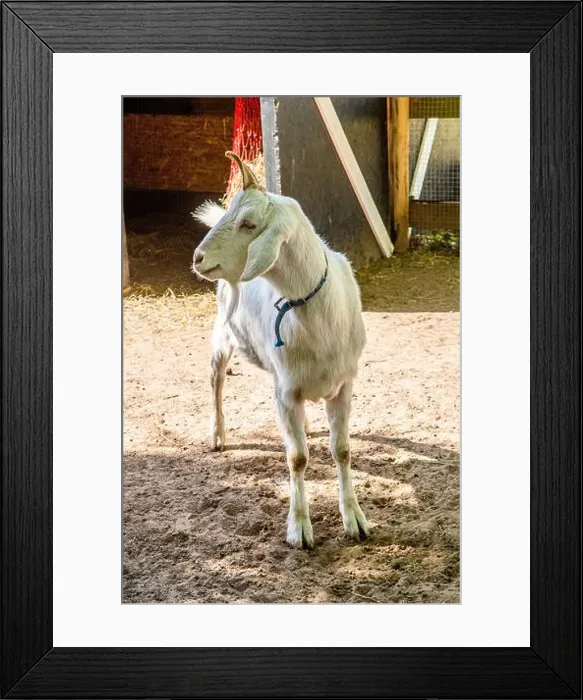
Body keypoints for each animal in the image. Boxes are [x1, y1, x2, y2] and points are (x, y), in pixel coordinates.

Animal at [192, 152, 369, 549]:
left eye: (248, 223)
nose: (197, 257)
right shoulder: (286, 391)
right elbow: (297, 458)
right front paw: (299, 526)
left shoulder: (345, 385)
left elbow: (343, 450)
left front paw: (354, 518)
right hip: (222, 336)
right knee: (215, 382)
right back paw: (217, 434)